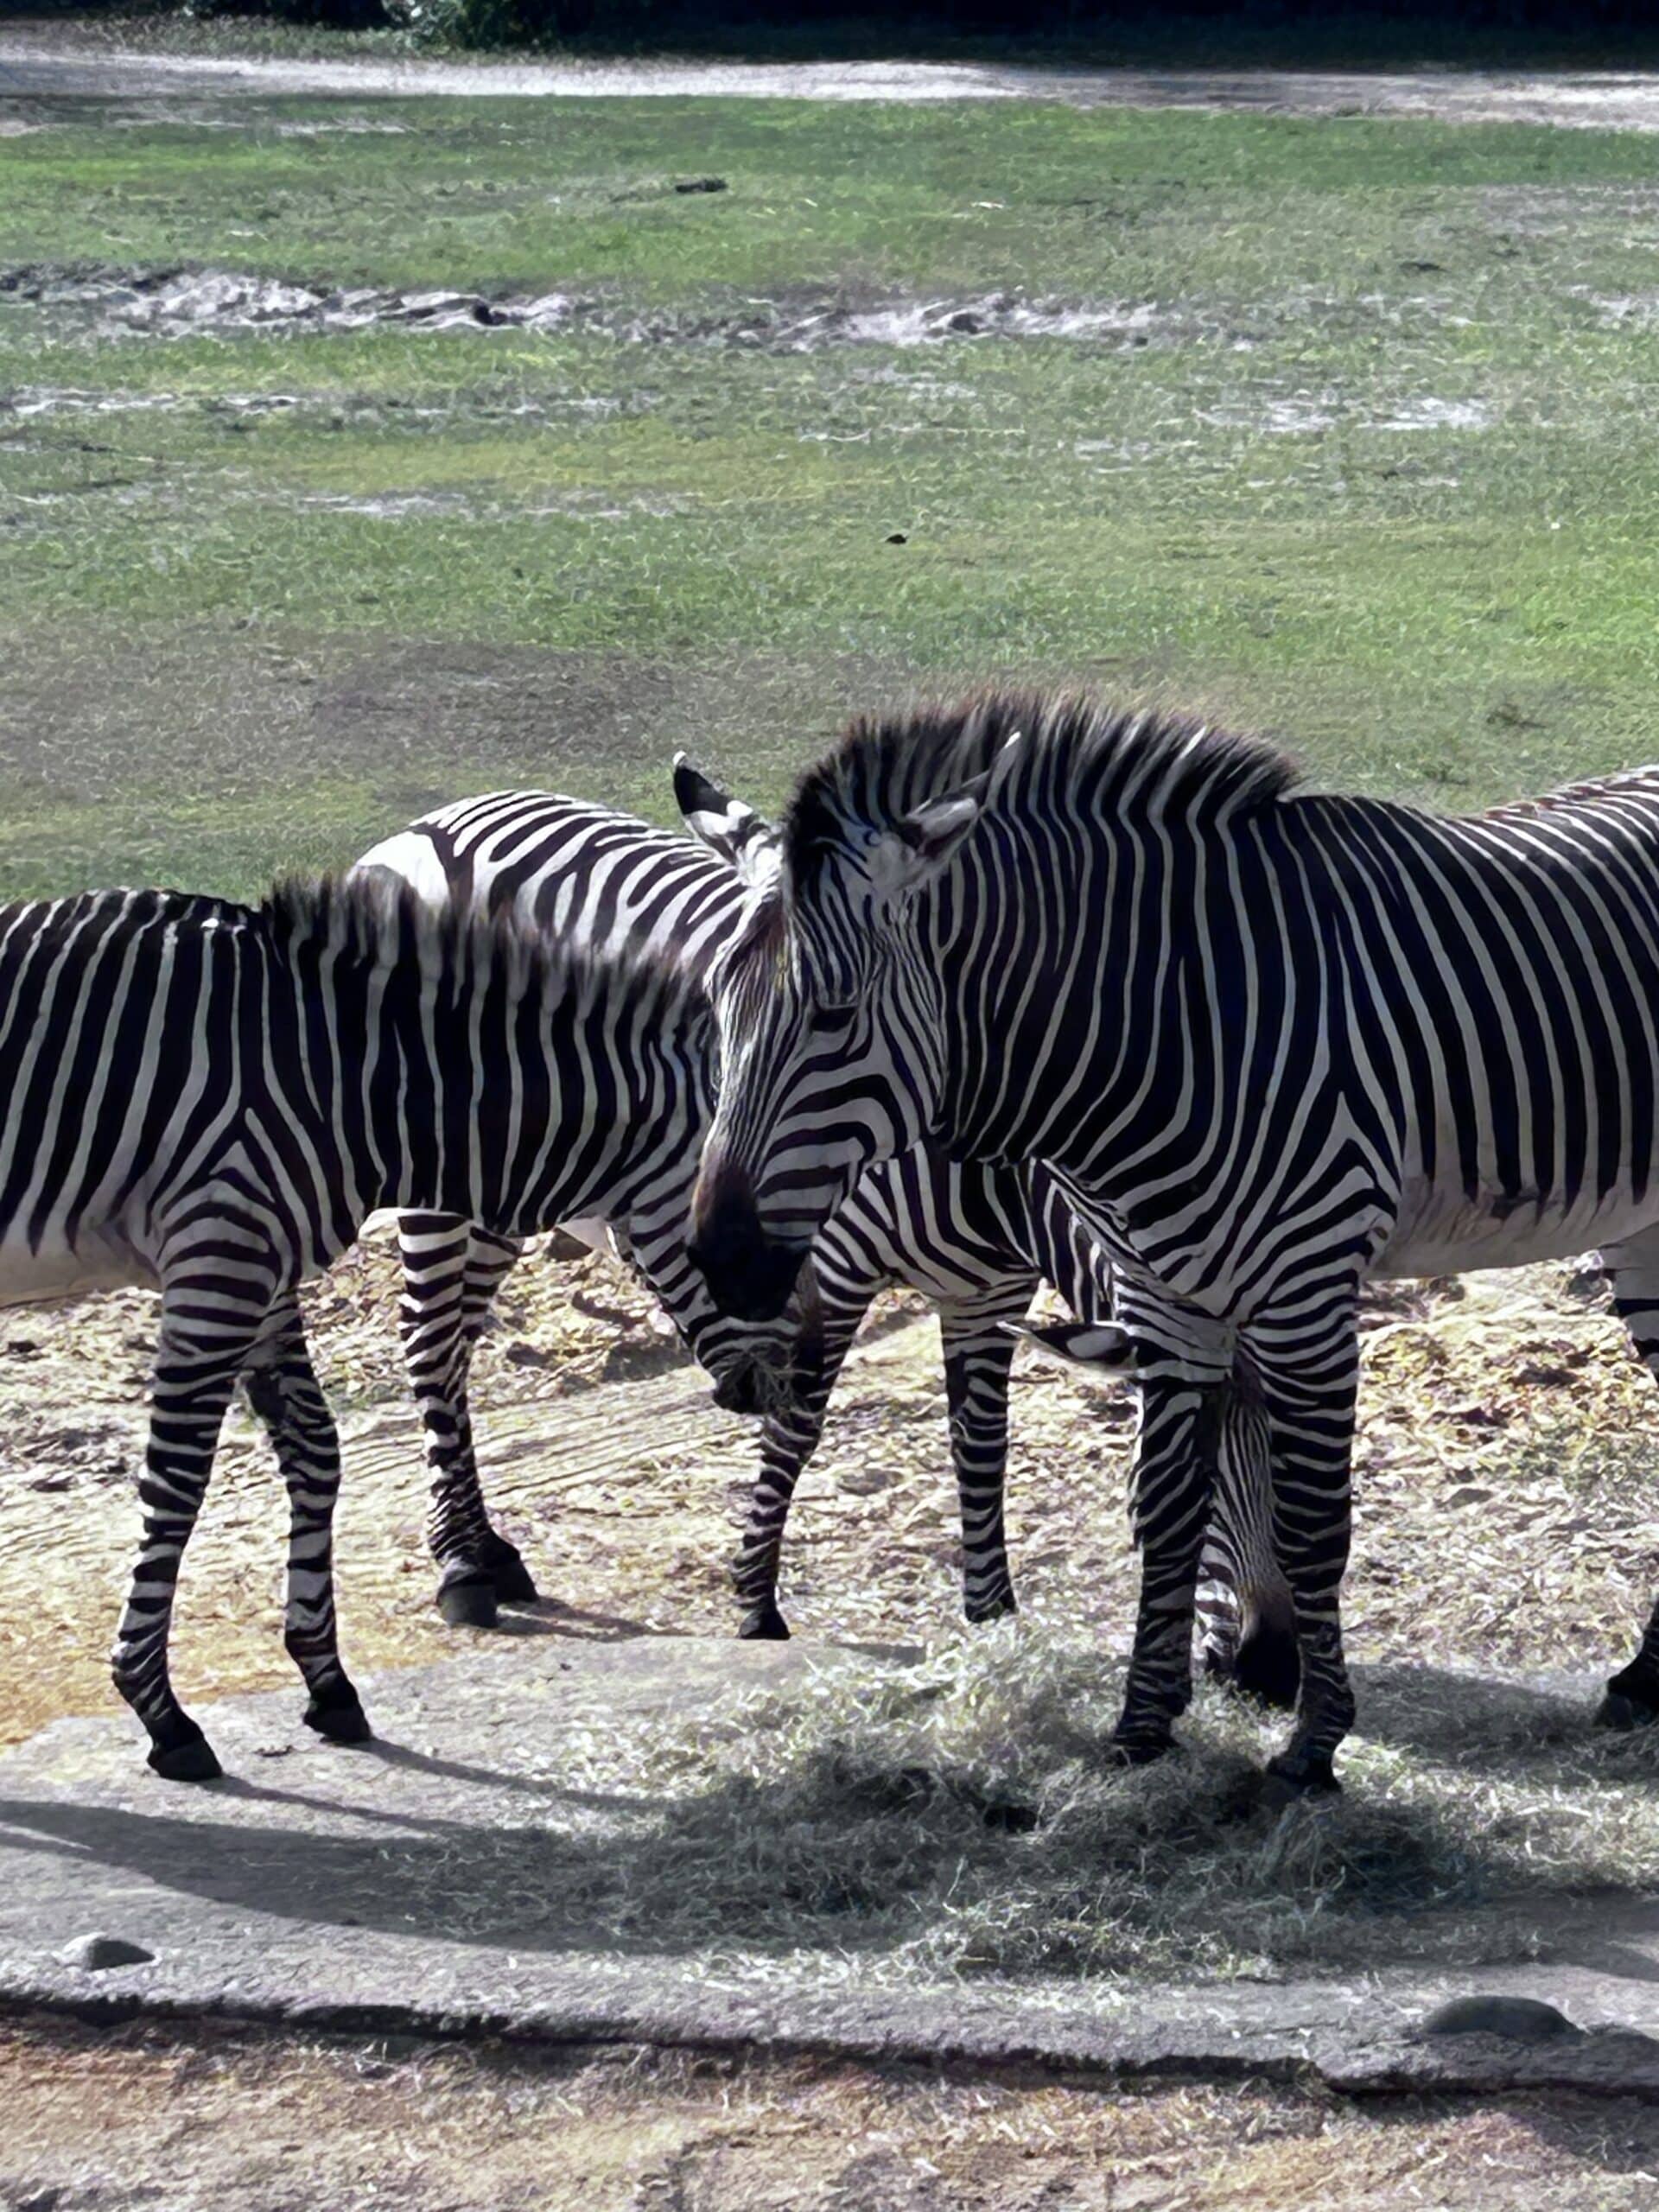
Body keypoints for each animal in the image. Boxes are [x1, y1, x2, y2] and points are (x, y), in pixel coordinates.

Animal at [0, 875, 800, 1780]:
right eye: (727, 1229)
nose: (786, 1382)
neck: (332, 1076)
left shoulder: (260, 1267)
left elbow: (315, 1452)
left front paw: (326, 1680)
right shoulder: (219, 1252)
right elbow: (177, 1483)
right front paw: (159, 1710)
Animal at [356, 787, 1295, 1690]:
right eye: (1201, 1484)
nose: (1269, 1671)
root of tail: (437, 819)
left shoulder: (989, 1293)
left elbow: (981, 1446)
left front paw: (994, 1619)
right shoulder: (834, 1265)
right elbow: (801, 1425)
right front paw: (754, 1604)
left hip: (507, 1191)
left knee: (457, 1345)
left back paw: (487, 1548)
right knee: (429, 1344)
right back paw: (462, 1571)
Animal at [681, 688, 1659, 1794]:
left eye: (835, 1015)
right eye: (715, 1005)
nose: (722, 1257)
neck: (1162, 1024)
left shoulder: (1304, 1288)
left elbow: (1313, 1523)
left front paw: (1313, 1747)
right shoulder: (1162, 1296)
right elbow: (1157, 1509)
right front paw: (1141, 1728)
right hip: (1642, 1223)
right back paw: (1644, 1682)